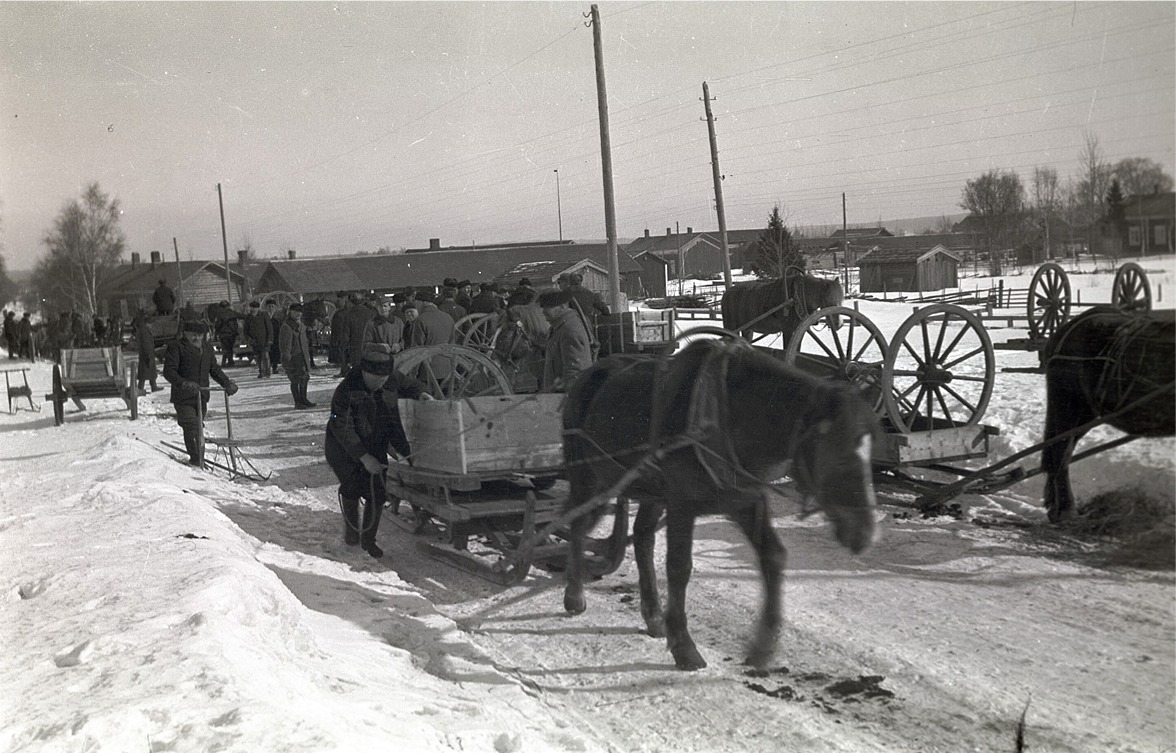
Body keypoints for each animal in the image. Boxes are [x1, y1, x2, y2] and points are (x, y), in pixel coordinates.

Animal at [562, 338, 884, 668]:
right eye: (840, 456)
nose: (865, 535)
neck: (725, 415)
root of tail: (588, 373)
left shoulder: (746, 500)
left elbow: (774, 556)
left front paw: (763, 646)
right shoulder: (682, 503)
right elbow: (679, 567)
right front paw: (684, 646)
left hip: (650, 489)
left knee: (642, 537)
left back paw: (653, 616)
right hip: (589, 477)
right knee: (576, 521)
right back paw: (574, 595)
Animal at [715, 268, 846, 341]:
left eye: (842, 299)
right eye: (827, 300)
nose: (838, 324)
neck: (797, 297)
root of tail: (726, 293)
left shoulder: (797, 330)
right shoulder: (787, 330)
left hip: (747, 329)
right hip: (731, 326)